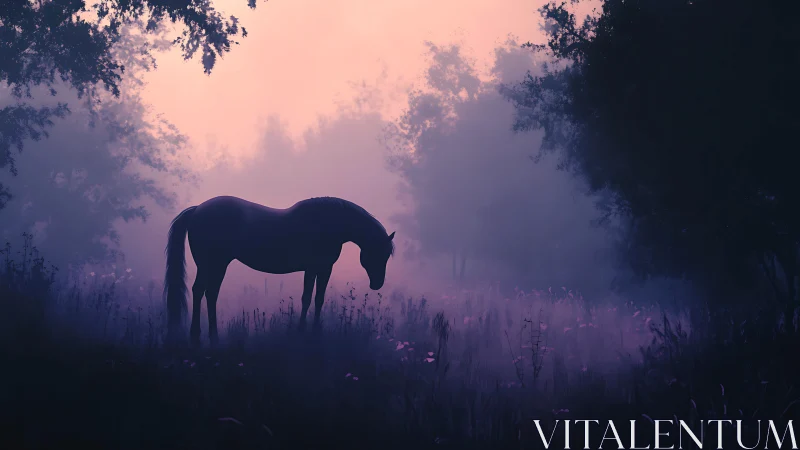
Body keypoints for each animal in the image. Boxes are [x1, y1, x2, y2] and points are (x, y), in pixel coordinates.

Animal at [163, 195, 395, 346]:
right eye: (379, 253)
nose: (377, 284)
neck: (327, 224)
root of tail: (197, 209)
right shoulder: (314, 268)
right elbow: (307, 298)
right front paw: (302, 332)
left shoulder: (322, 269)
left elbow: (318, 299)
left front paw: (314, 332)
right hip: (212, 264)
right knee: (201, 291)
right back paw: (199, 337)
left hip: (216, 265)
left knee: (208, 293)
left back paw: (209, 337)